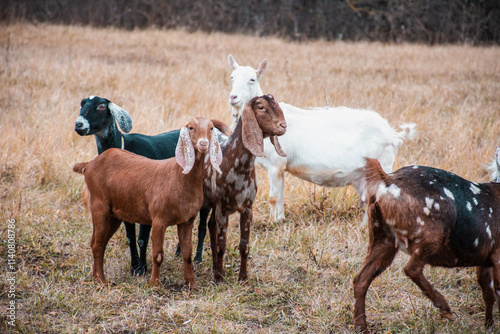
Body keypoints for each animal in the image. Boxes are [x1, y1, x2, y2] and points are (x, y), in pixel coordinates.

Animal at [72, 116, 221, 286]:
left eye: (211, 128)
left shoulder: (187, 220)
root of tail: (89, 164)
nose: (203, 144)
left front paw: (191, 284)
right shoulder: (158, 220)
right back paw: (102, 281)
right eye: (191, 128)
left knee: (97, 242)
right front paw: (154, 284)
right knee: (97, 245)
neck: (179, 175)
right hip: (99, 206)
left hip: (113, 214)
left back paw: (95, 276)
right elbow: (158, 255)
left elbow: (187, 253)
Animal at [203, 94, 288, 282]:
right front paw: (219, 278)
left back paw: (214, 266)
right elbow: (222, 245)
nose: (283, 126)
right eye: (261, 107)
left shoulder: (248, 208)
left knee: (211, 225)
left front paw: (242, 277)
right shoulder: (222, 208)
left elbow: (244, 245)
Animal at [229, 54, 416, 222]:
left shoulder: (275, 165)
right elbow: (280, 196)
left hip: (383, 165)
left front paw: (273, 223)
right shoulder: (281, 168)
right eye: (232, 77)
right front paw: (280, 220)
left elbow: (273, 197)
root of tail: (393, 134)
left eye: (252, 79)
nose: (233, 97)